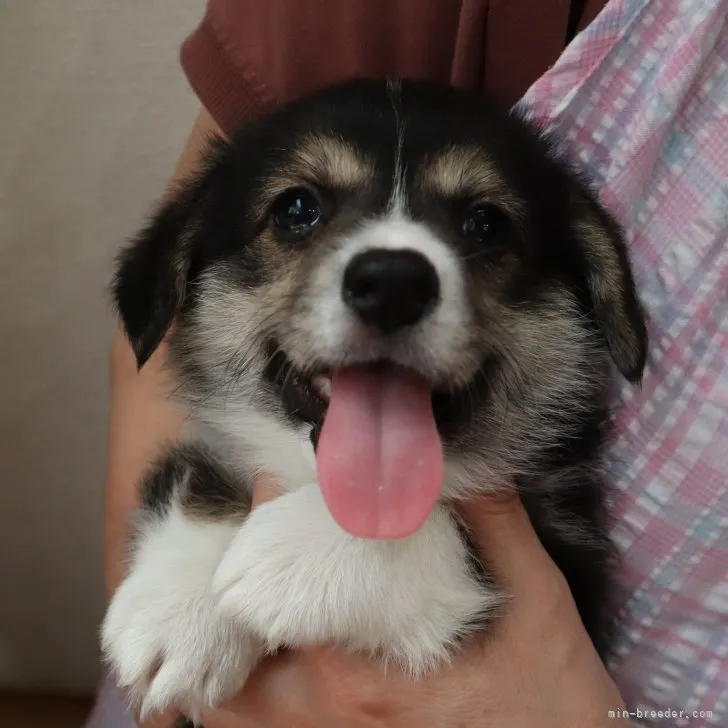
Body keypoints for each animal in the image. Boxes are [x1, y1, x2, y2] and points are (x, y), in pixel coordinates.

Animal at [99, 78, 644, 724]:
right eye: (296, 209)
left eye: (486, 224)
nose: (393, 284)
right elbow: (196, 473)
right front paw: (180, 607)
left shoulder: (572, 562)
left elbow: (446, 530)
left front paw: (290, 553)